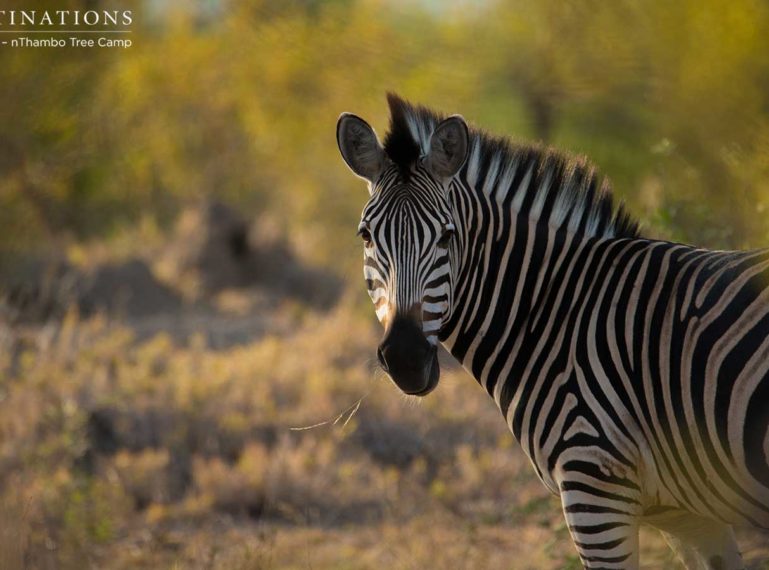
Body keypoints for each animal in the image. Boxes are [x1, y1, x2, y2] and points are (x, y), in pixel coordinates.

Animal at [336, 94, 768, 568]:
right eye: (366, 237)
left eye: (447, 237)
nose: (406, 357)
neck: (557, 311)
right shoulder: (686, 514)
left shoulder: (593, 489)